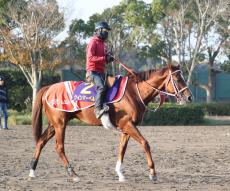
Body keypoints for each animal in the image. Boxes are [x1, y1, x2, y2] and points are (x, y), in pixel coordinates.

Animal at [28, 64, 192, 182]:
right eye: (177, 79)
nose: (189, 97)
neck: (133, 92)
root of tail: (49, 88)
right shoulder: (128, 124)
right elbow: (145, 143)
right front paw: (152, 173)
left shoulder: (126, 128)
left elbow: (122, 149)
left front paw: (120, 174)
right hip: (60, 124)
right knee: (59, 147)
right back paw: (73, 174)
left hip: (54, 125)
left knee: (40, 142)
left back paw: (32, 171)